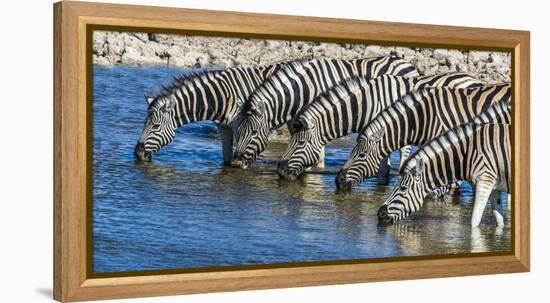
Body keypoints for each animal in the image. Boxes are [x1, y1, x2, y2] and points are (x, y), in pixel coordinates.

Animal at [136, 62, 286, 165]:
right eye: (144, 124)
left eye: (155, 126)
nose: (137, 154)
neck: (221, 97)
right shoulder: (224, 128)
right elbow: (226, 159)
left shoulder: (241, 128)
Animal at [231, 55, 420, 169]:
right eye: (238, 132)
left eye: (254, 133)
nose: (237, 164)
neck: (303, 91)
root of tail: (407, 63)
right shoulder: (297, 122)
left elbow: (318, 150)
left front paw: (315, 170)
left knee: (404, 149)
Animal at [380, 101, 512, 227]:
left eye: (403, 189)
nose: (380, 214)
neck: (467, 154)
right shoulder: (495, 188)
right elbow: (499, 221)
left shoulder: (485, 182)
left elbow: (474, 221)